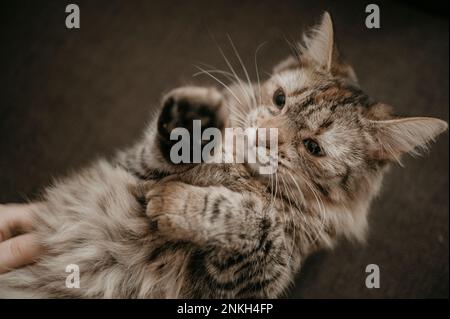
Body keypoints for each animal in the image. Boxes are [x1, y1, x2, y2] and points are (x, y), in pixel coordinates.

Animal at [0, 11, 446, 298]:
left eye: (313, 147)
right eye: (279, 100)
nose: (265, 136)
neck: (237, 172)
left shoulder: (241, 280)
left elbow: (257, 223)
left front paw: (176, 205)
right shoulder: (133, 169)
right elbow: (166, 151)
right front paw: (192, 121)